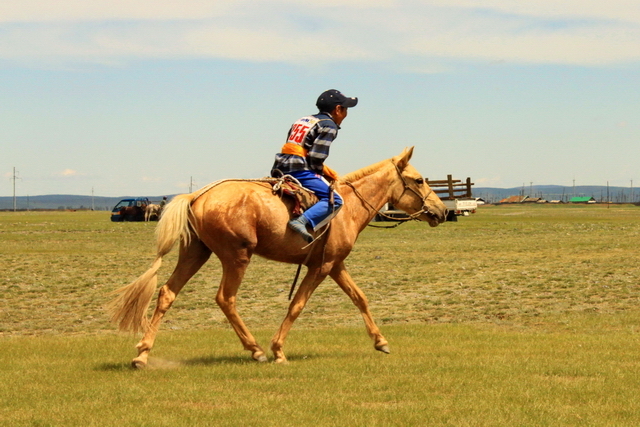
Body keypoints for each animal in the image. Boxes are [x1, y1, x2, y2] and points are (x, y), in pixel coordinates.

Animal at [107, 147, 448, 368]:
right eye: (419, 180)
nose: (442, 211)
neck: (349, 206)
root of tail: (196, 196)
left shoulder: (335, 264)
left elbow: (360, 298)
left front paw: (380, 342)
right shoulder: (320, 267)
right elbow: (297, 305)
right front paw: (278, 350)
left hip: (195, 252)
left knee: (167, 292)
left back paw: (142, 354)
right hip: (236, 256)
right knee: (225, 298)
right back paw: (256, 350)